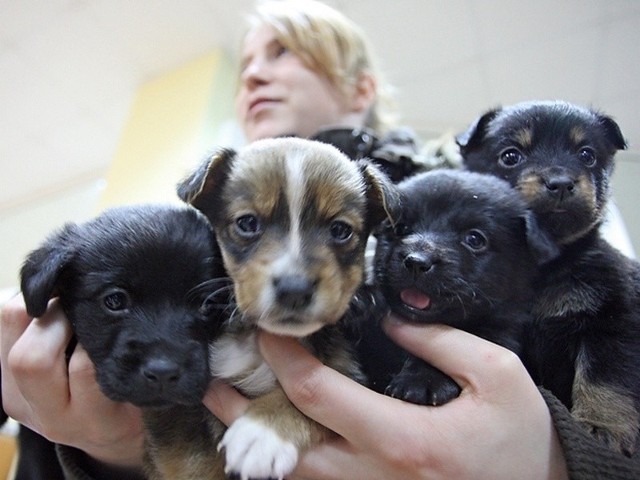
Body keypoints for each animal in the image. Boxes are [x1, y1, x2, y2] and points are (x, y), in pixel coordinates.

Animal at [178, 136, 398, 480]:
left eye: (340, 230)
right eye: (247, 223)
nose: (295, 290)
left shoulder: (347, 374)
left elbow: (304, 400)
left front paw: (262, 433)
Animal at [458, 100, 640, 454]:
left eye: (586, 155)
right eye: (511, 156)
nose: (560, 182)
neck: (542, 268)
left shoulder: (612, 320)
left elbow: (604, 377)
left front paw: (603, 425)